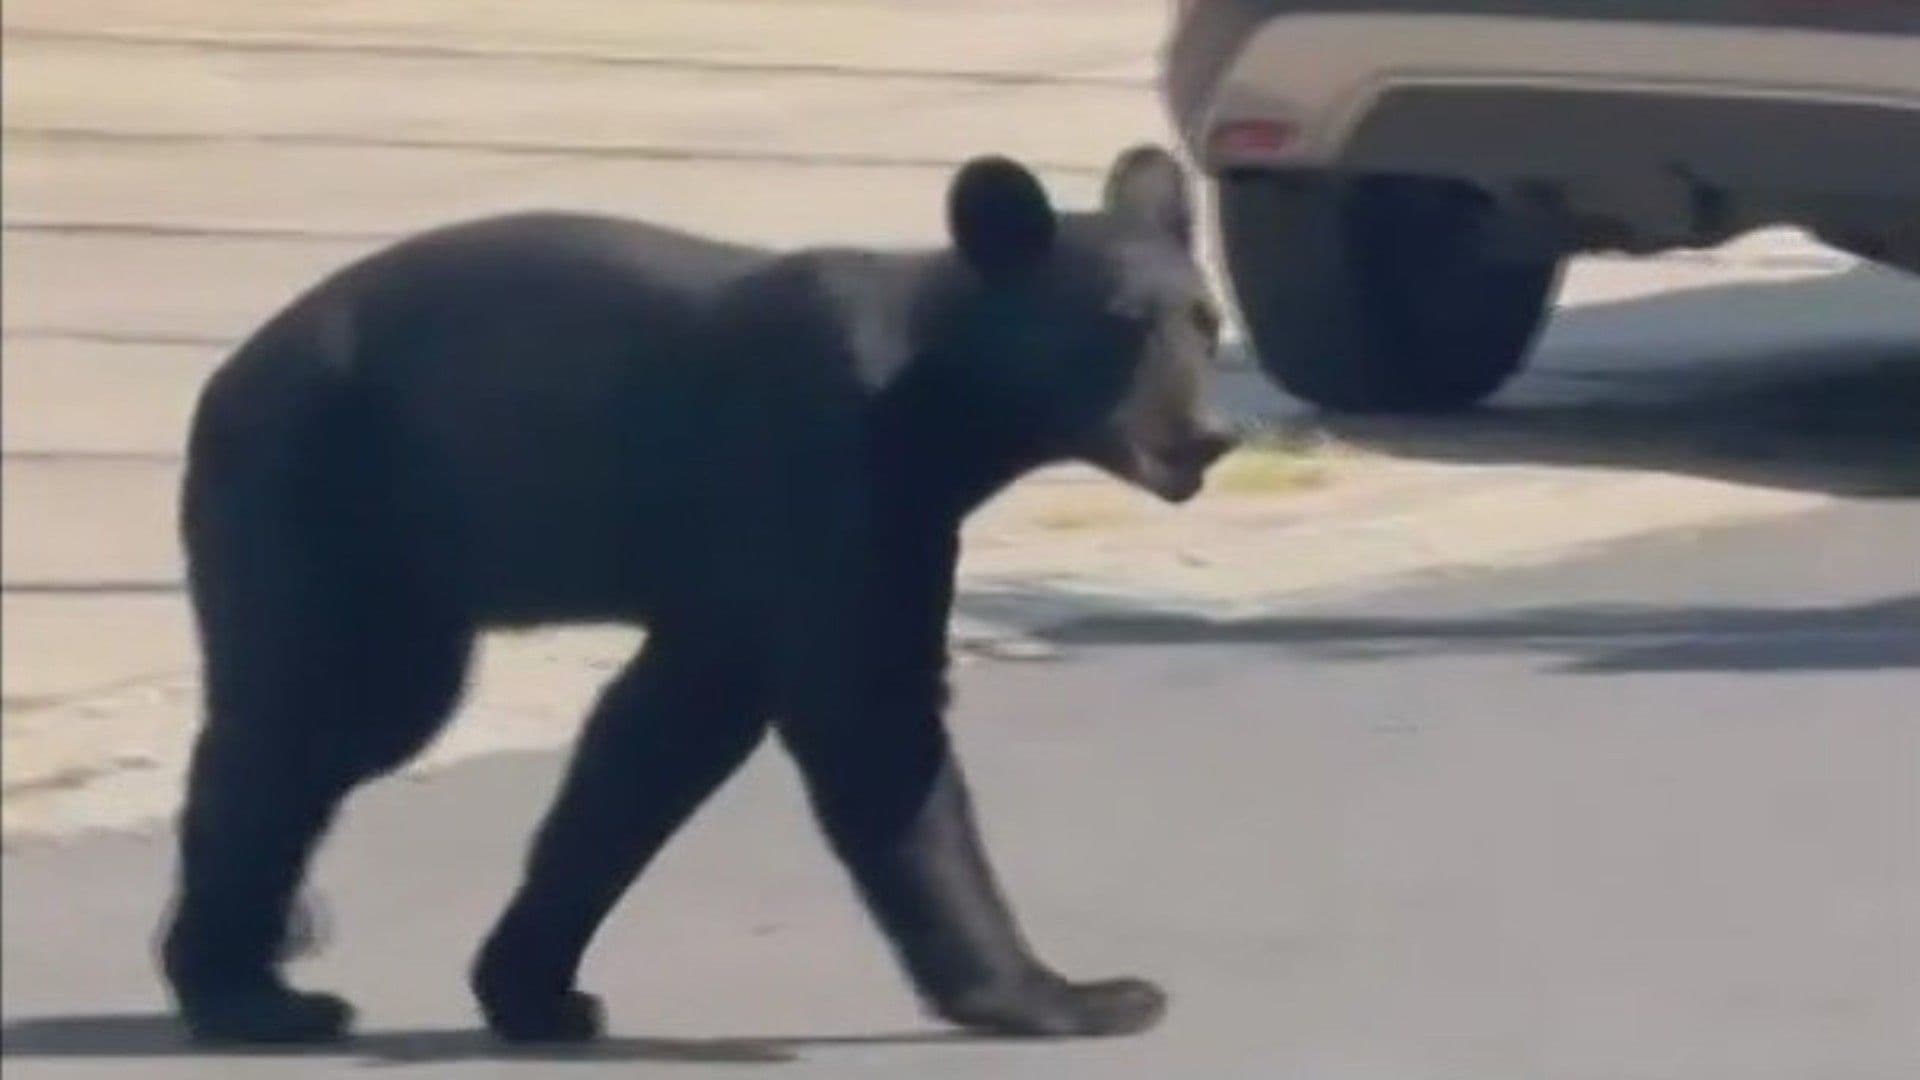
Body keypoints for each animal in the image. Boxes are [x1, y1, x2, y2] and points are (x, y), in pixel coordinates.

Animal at [159, 144, 1236, 1046]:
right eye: (1120, 327)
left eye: (1205, 319)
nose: (1207, 434)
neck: (937, 415)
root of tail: (226, 374)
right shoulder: (818, 476)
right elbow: (873, 720)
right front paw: (1074, 994)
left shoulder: (772, 569)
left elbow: (658, 738)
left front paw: (536, 989)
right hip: (316, 496)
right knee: (302, 718)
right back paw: (245, 992)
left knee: (354, 722)